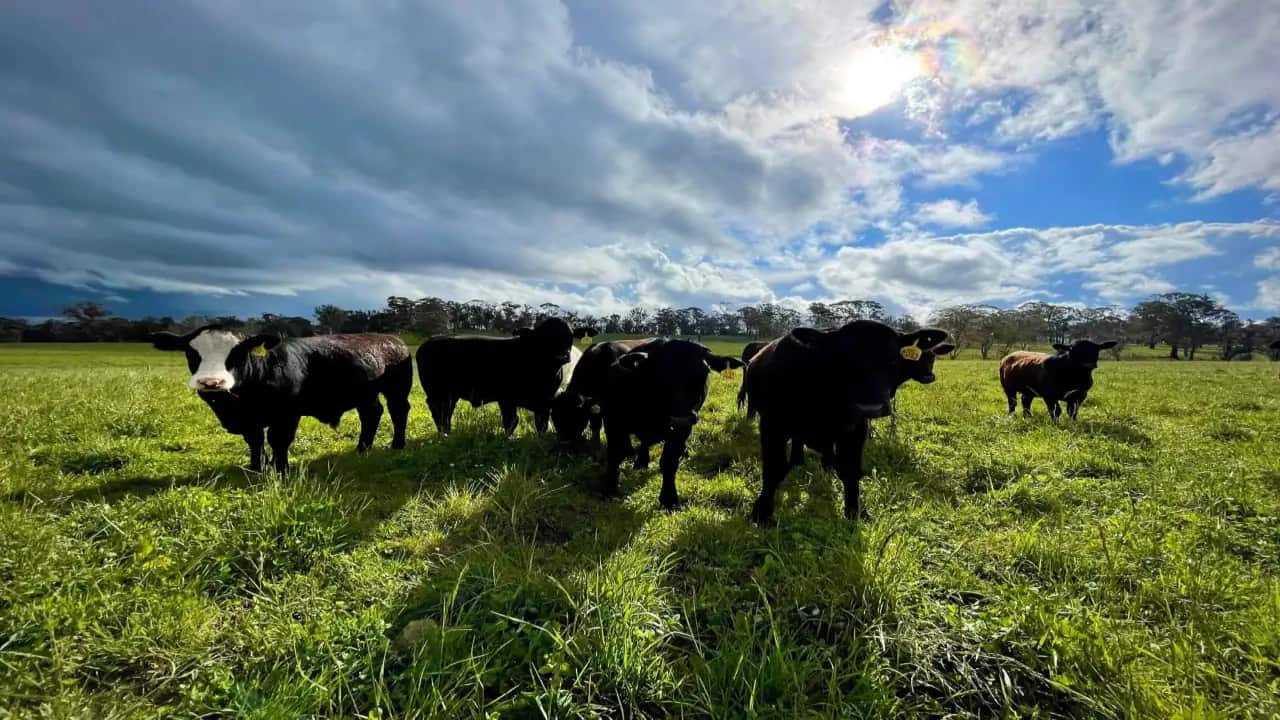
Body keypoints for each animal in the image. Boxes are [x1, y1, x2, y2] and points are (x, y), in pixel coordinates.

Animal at [151, 326, 411, 473]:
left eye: (237, 353)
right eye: (191, 353)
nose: (211, 382)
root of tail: (392, 339)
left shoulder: (287, 414)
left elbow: (278, 440)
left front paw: (281, 469)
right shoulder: (250, 421)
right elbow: (255, 441)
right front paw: (256, 468)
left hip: (397, 389)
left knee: (398, 411)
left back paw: (397, 444)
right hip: (365, 395)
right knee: (372, 413)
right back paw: (362, 448)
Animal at [416, 318, 597, 436]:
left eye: (570, 336)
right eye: (543, 337)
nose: (562, 356)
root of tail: (431, 340)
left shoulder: (546, 402)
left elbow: (542, 425)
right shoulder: (506, 398)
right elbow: (511, 422)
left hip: (450, 394)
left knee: (447, 412)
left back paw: (448, 432)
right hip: (436, 392)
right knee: (438, 411)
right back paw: (443, 435)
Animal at [596, 339, 745, 509]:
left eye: (703, 374)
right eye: (659, 374)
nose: (682, 419)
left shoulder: (681, 431)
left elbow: (669, 462)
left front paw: (669, 499)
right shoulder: (612, 422)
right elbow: (615, 455)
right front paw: (609, 489)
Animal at [741, 321, 949, 525]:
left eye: (893, 359)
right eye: (842, 360)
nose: (871, 407)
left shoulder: (855, 430)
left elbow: (850, 471)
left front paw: (855, 512)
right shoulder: (772, 426)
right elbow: (774, 469)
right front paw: (761, 513)